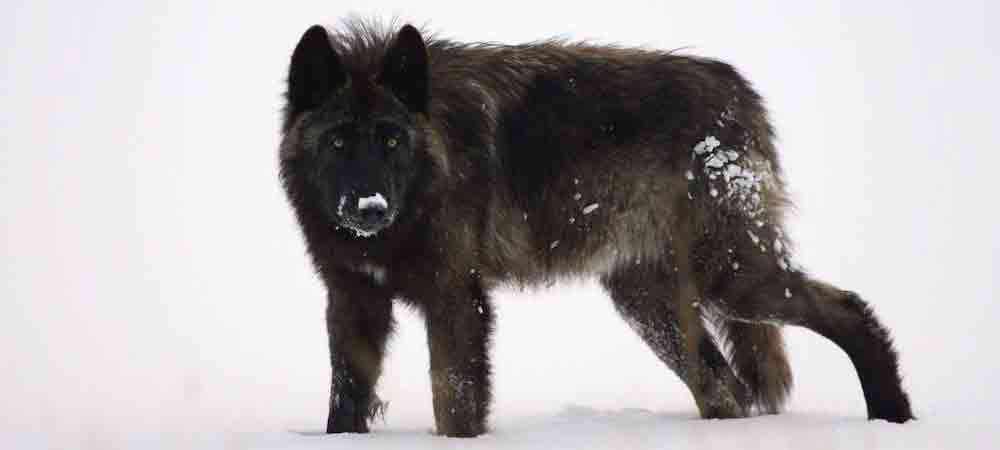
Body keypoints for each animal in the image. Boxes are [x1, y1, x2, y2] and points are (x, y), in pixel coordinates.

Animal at [278, 19, 913, 437]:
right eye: (338, 142)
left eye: (391, 139)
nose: (369, 207)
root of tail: (738, 88)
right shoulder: (352, 300)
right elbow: (345, 402)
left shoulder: (455, 298)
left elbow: (453, 402)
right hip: (650, 303)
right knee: (725, 388)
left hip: (730, 279)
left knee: (850, 310)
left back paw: (894, 418)